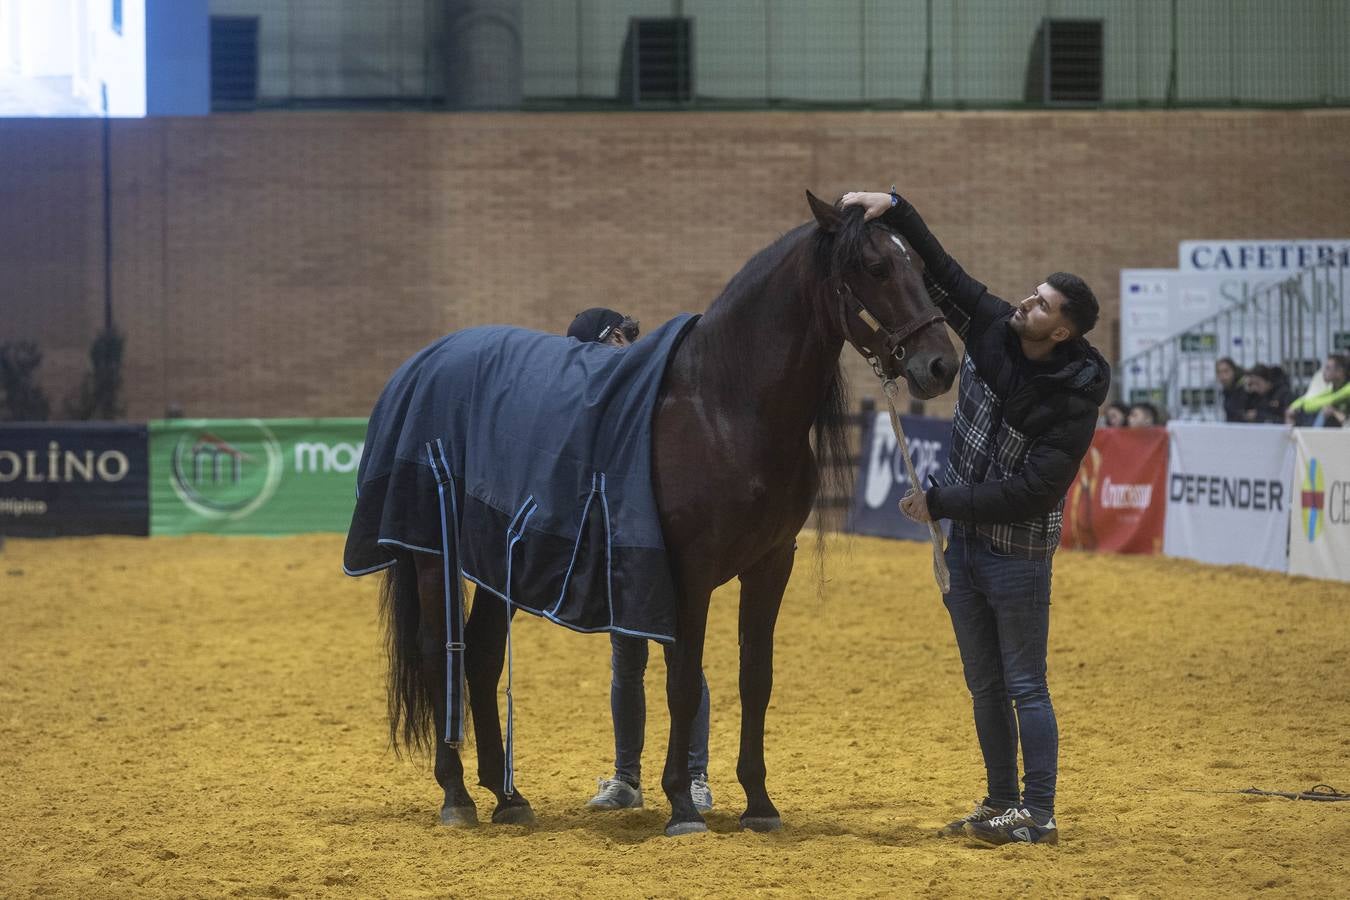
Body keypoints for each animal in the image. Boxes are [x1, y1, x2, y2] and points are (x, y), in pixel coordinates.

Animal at [362, 192, 958, 837]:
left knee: (483, 655)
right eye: (875, 267)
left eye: (919, 266)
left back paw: (507, 795)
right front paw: (681, 807)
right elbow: (682, 682)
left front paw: (759, 804)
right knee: (439, 652)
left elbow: (755, 678)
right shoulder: (687, 571)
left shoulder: (772, 562)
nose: (941, 366)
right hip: (433, 556)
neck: (723, 407)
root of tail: (421, 366)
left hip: (499, 558)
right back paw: (457, 796)